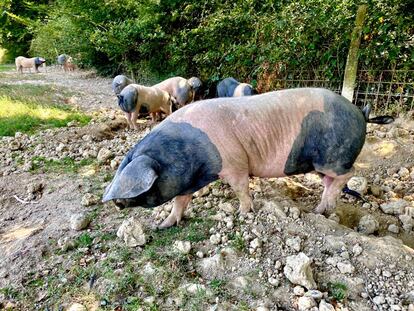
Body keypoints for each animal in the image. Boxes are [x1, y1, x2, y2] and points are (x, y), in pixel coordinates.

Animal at [102, 88, 392, 229]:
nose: (115, 203)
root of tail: (359, 112)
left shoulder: (234, 163)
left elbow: (241, 188)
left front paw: (243, 213)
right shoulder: (186, 181)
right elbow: (179, 202)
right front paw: (163, 226)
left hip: (333, 156)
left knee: (348, 173)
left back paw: (324, 209)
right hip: (319, 163)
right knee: (330, 181)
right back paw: (320, 210)